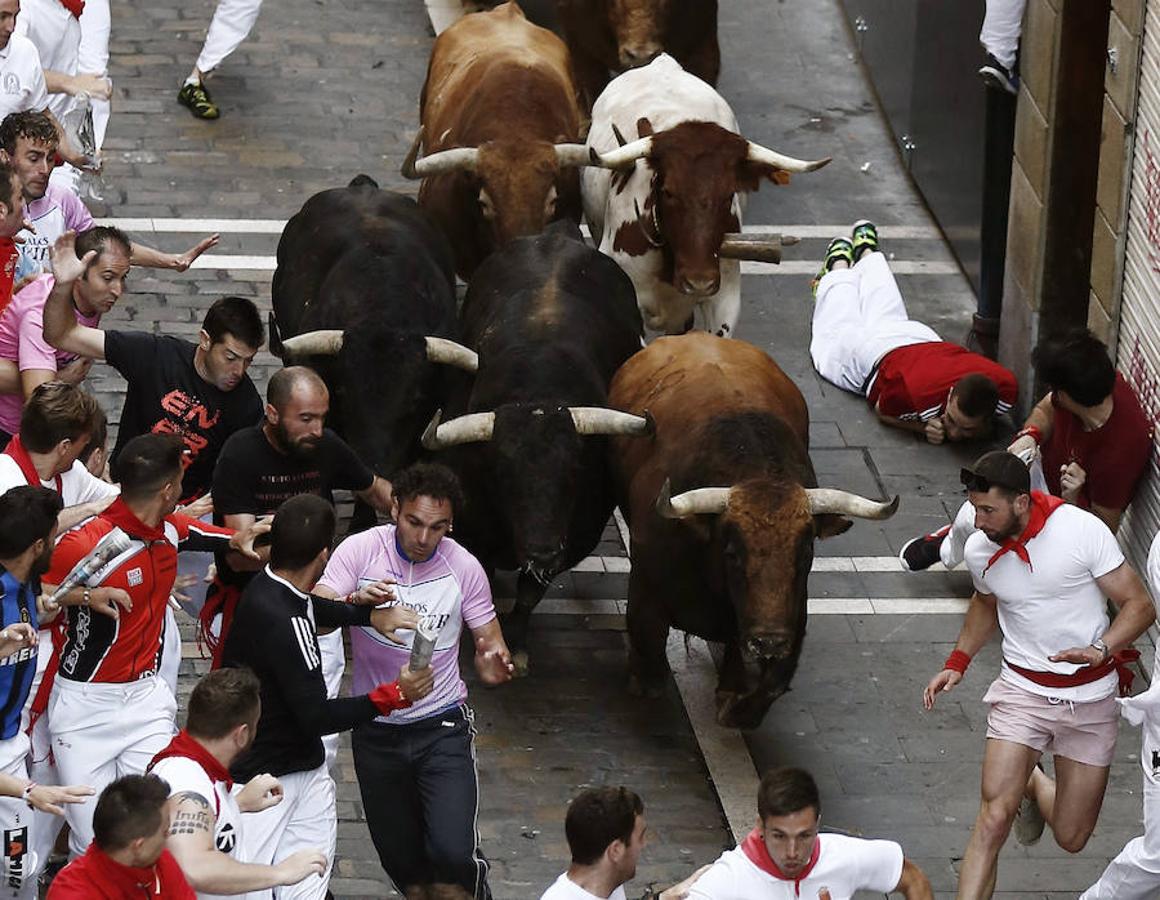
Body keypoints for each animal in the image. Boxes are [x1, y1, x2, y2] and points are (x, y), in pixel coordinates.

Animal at [422, 228, 654, 672]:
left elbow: (529, 595)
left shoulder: (574, 538)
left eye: (576, 469)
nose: (542, 551)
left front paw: (516, 642)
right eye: (502, 474)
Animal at [607, 334, 895, 728]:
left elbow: (765, 685)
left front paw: (734, 703)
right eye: (732, 553)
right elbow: (649, 662)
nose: (768, 642)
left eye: (806, 553)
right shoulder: (646, 589)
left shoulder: (791, 618)